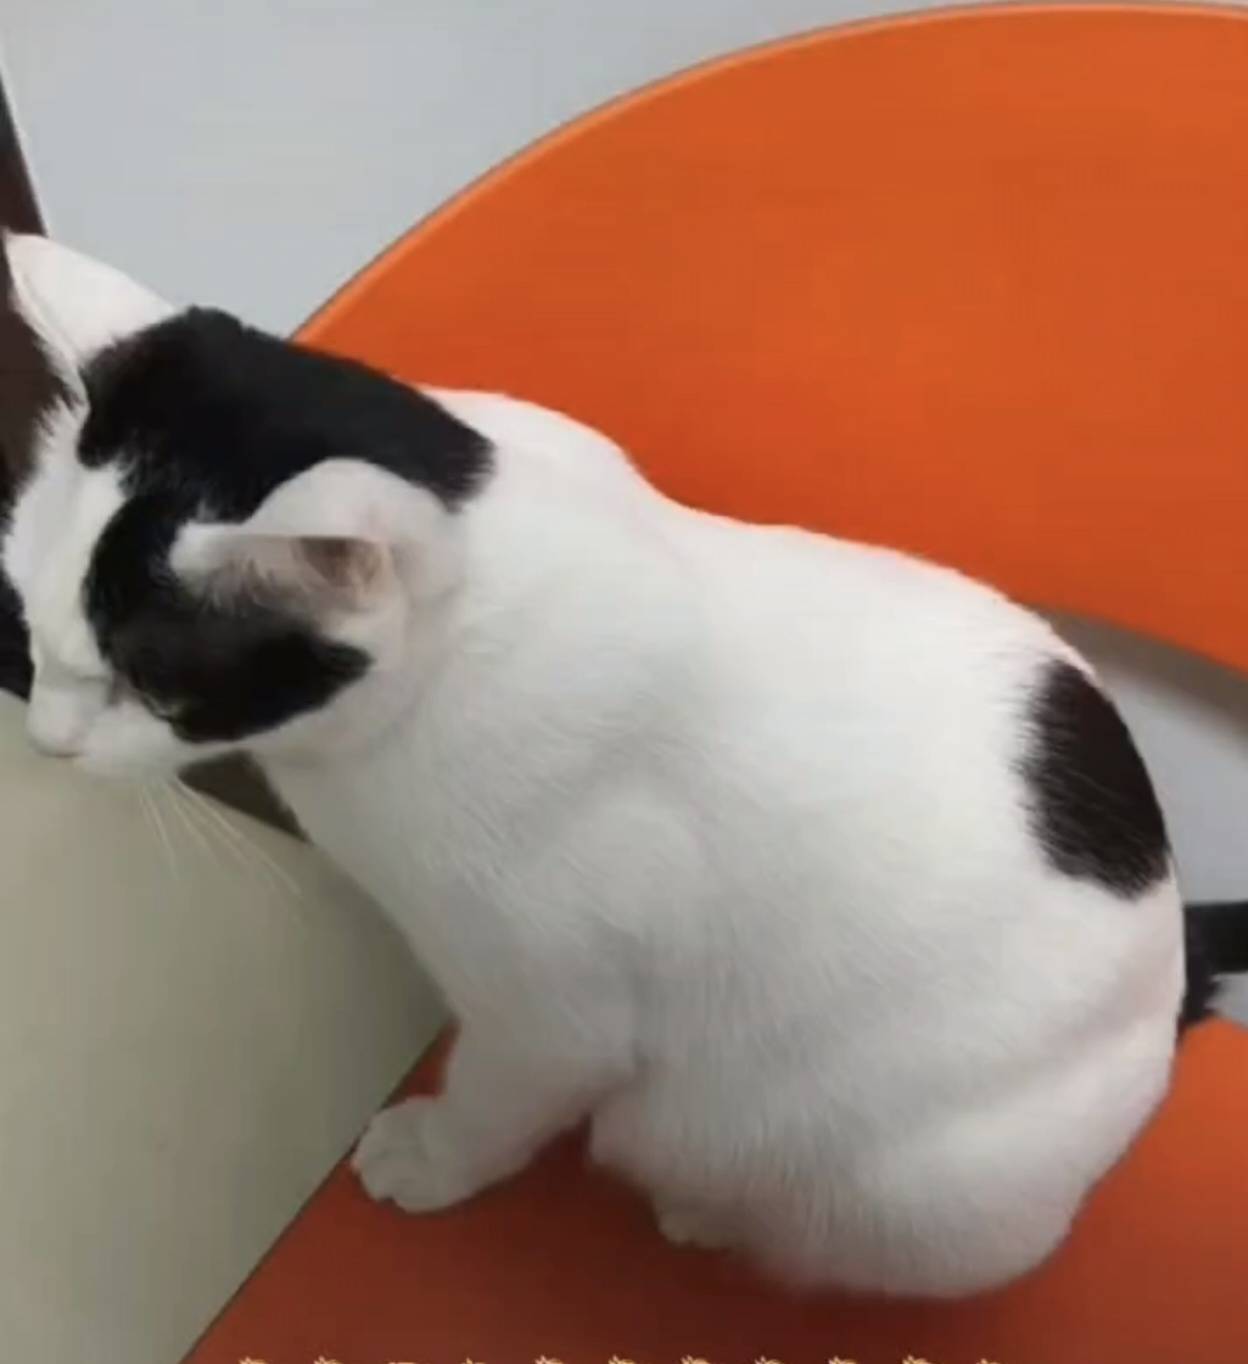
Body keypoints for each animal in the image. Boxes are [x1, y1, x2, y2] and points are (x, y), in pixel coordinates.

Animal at [3, 232, 1246, 1298]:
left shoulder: (554, 1006)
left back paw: (711, 1209)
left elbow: (505, 1092)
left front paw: (432, 1155)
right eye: (30, 616)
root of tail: (1172, 953)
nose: (49, 739)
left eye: (149, 683)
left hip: (927, 1187)